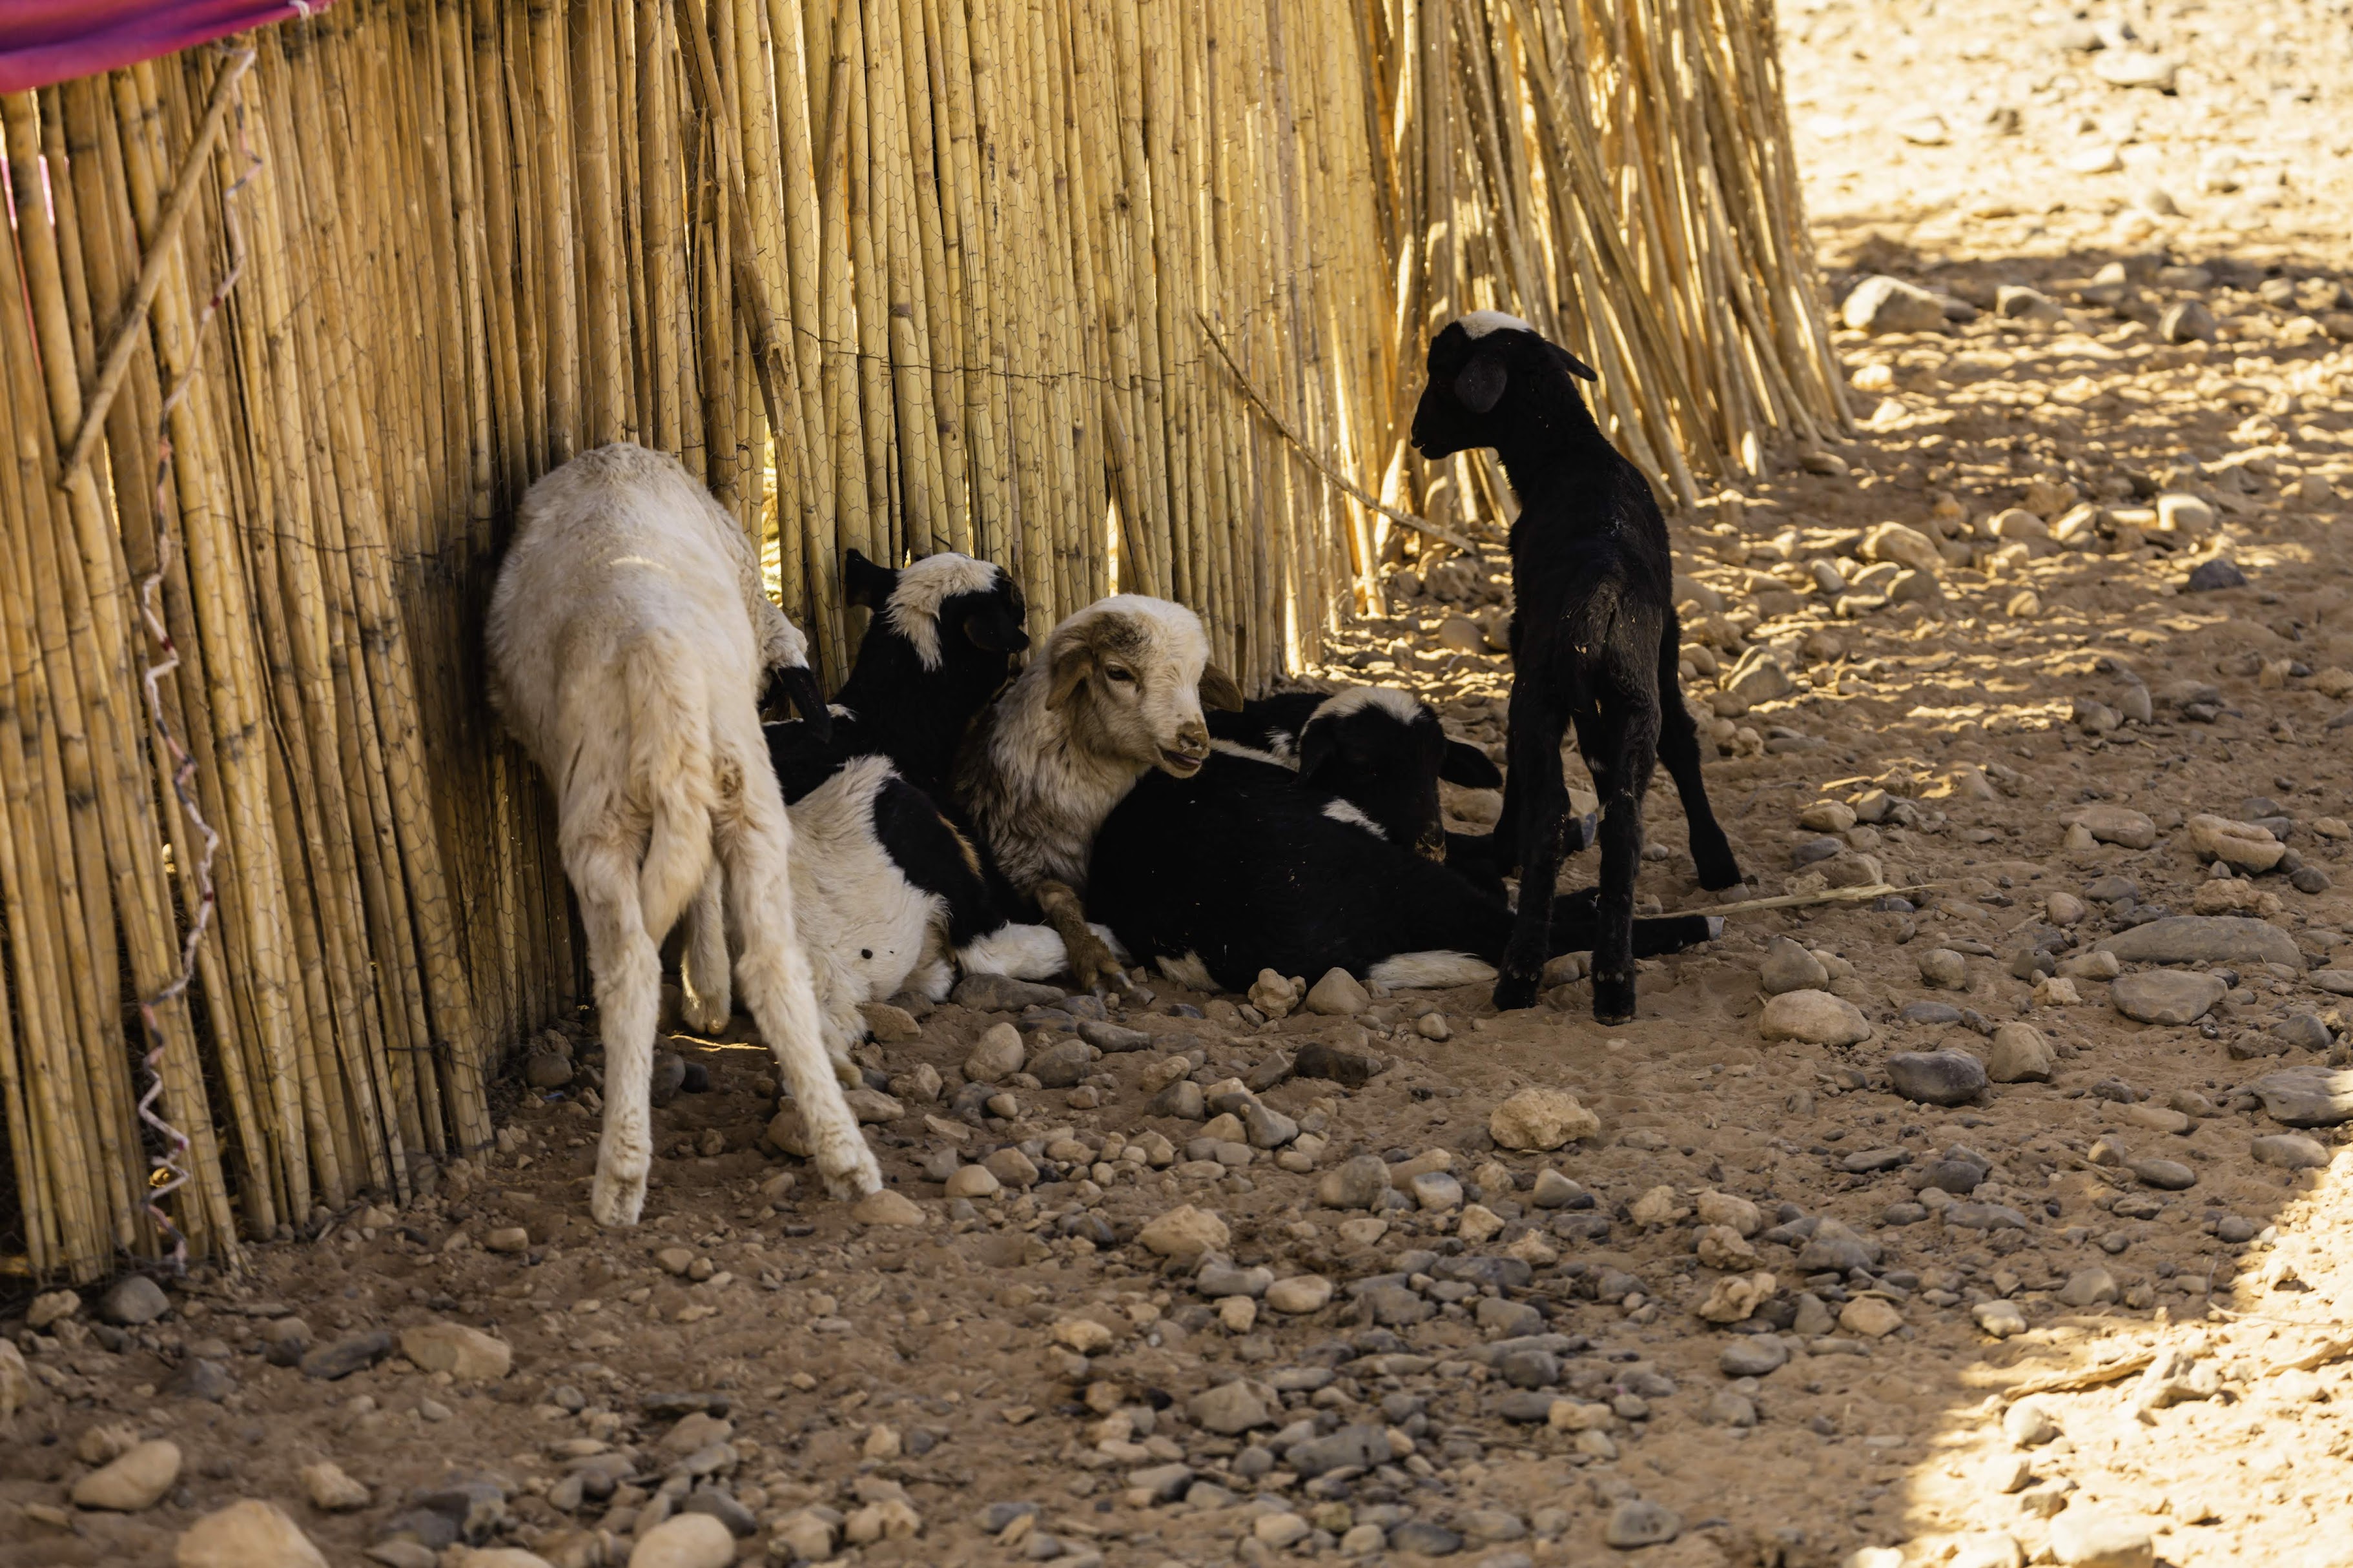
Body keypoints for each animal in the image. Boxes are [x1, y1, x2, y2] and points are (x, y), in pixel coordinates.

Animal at [487, 442, 885, 1222]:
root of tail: (657, 655)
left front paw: (702, 991)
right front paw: (710, 991)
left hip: (600, 824)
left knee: (631, 973)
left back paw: (619, 1175)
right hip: (751, 799)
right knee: (776, 968)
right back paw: (846, 1156)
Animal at [1402, 312, 1741, 1024]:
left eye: (1440, 378)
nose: (1417, 437)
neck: (1568, 453)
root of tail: (1598, 596)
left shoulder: (1522, 641)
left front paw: (1500, 847)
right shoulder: (1665, 646)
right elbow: (1684, 740)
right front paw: (1716, 858)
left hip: (1541, 692)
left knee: (1552, 817)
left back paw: (1520, 975)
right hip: (1633, 696)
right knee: (1624, 826)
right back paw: (1615, 983)